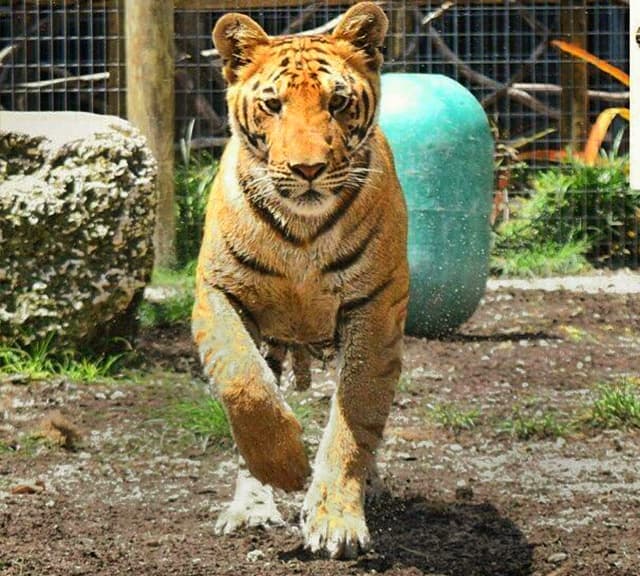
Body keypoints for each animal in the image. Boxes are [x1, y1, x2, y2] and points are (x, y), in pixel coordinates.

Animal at [191, 0, 410, 560]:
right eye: (273, 105)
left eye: (338, 102)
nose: (308, 168)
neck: (302, 233)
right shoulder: (217, 294)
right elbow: (246, 386)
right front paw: (287, 470)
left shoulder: (374, 307)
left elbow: (355, 418)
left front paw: (336, 520)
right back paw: (252, 506)